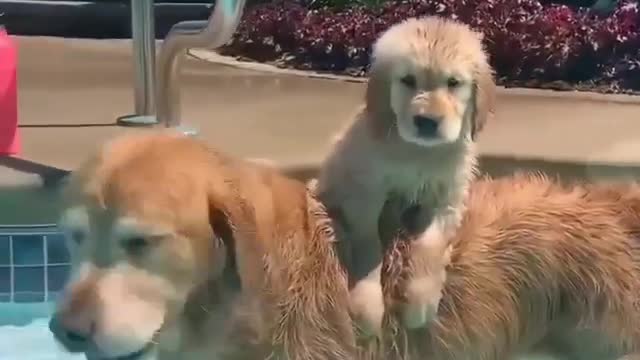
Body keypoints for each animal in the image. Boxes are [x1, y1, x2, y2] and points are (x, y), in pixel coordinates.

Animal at [312, 15, 498, 338]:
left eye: (453, 83)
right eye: (408, 80)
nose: (427, 121)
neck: (418, 152)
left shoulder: (446, 198)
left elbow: (430, 244)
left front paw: (420, 300)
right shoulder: (365, 194)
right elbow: (369, 245)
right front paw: (367, 304)